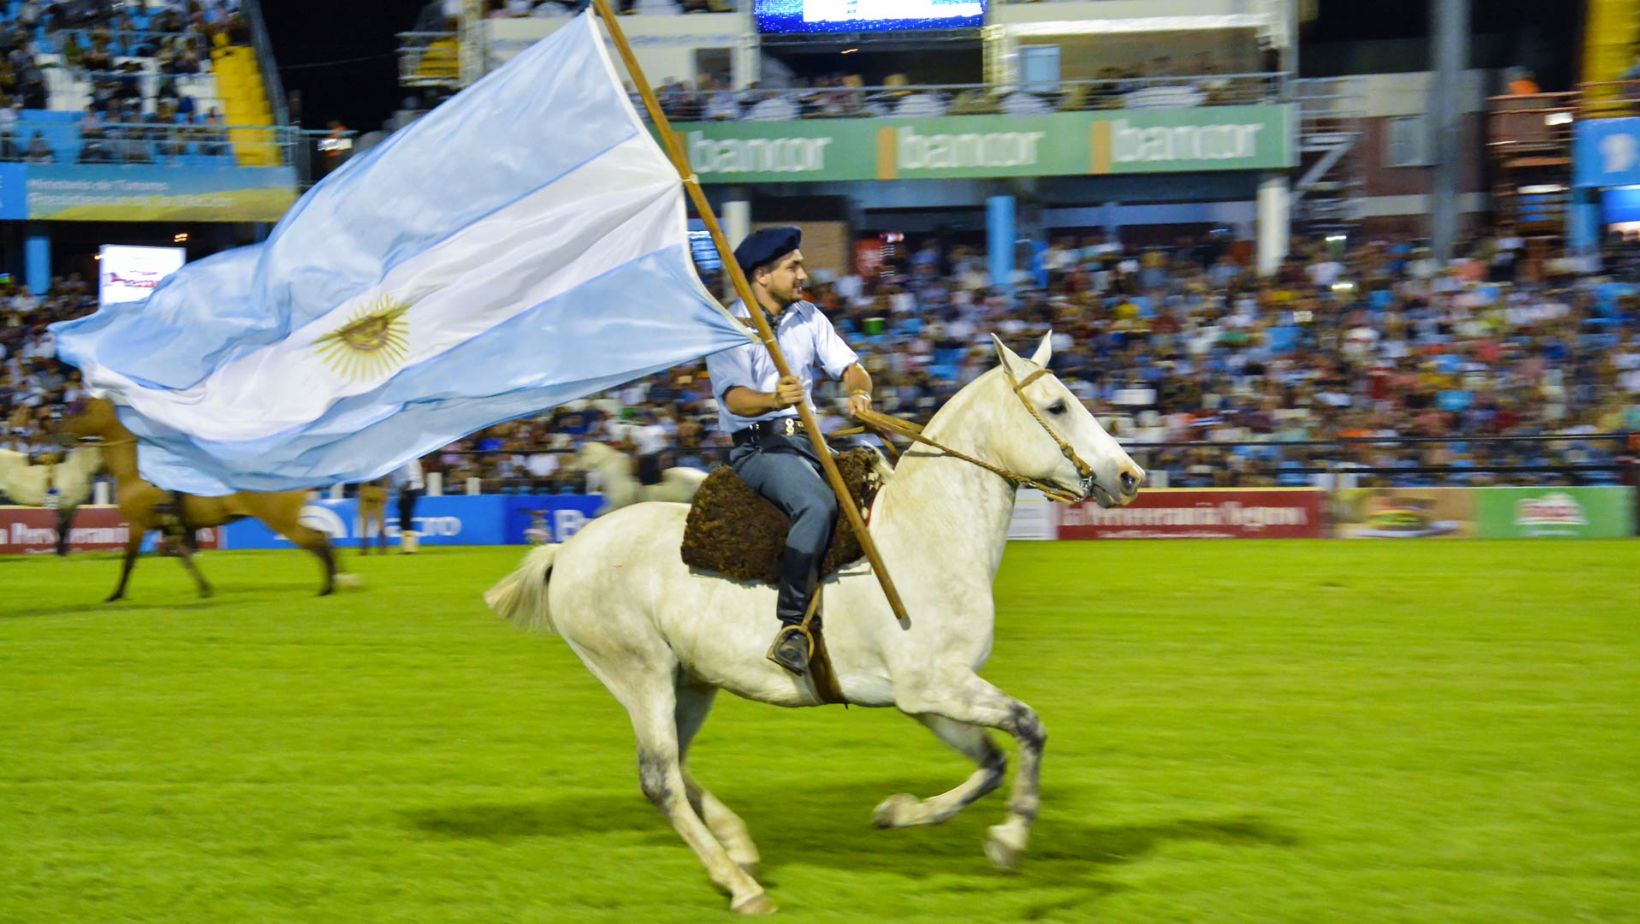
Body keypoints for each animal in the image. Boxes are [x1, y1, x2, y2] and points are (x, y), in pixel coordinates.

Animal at [59, 398, 343, 602]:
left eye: (79, 410)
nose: (58, 433)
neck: (136, 471)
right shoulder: (170, 528)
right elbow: (184, 558)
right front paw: (205, 589)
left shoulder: (139, 525)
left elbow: (128, 562)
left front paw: (115, 595)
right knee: (322, 538)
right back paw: (333, 582)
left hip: (281, 521)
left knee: (317, 541)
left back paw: (328, 586)